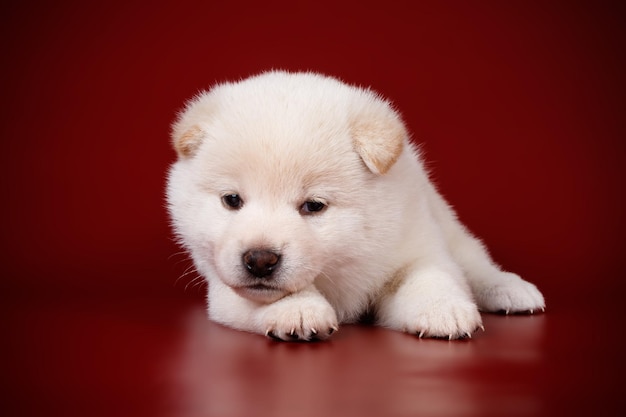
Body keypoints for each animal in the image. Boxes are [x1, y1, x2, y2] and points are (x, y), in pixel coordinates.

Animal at [166, 70, 540, 340]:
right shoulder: (220, 284)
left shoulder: (414, 245)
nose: (260, 259)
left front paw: (441, 309)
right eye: (232, 200)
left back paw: (512, 290)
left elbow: (431, 275)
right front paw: (298, 310)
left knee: (475, 262)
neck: (339, 269)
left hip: (448, 227)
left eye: (314, 206)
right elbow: (263, 295)